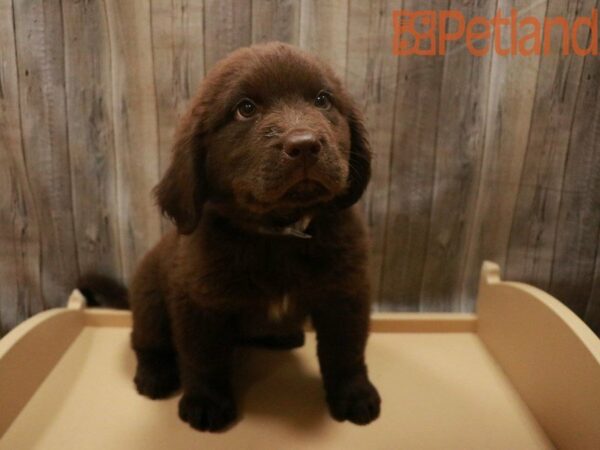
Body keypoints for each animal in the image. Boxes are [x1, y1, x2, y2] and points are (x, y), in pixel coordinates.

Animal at [81, 43, 380, 432]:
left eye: (322, 100)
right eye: (245, 109)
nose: (305, 145)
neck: (279, 234)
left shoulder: (345, 294)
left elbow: (346, 351)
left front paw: (355, 395)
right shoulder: (199, 302)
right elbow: (203, 358)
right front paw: (206, 402)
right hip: (148, 300)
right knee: (146, 342)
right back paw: (154, 375)